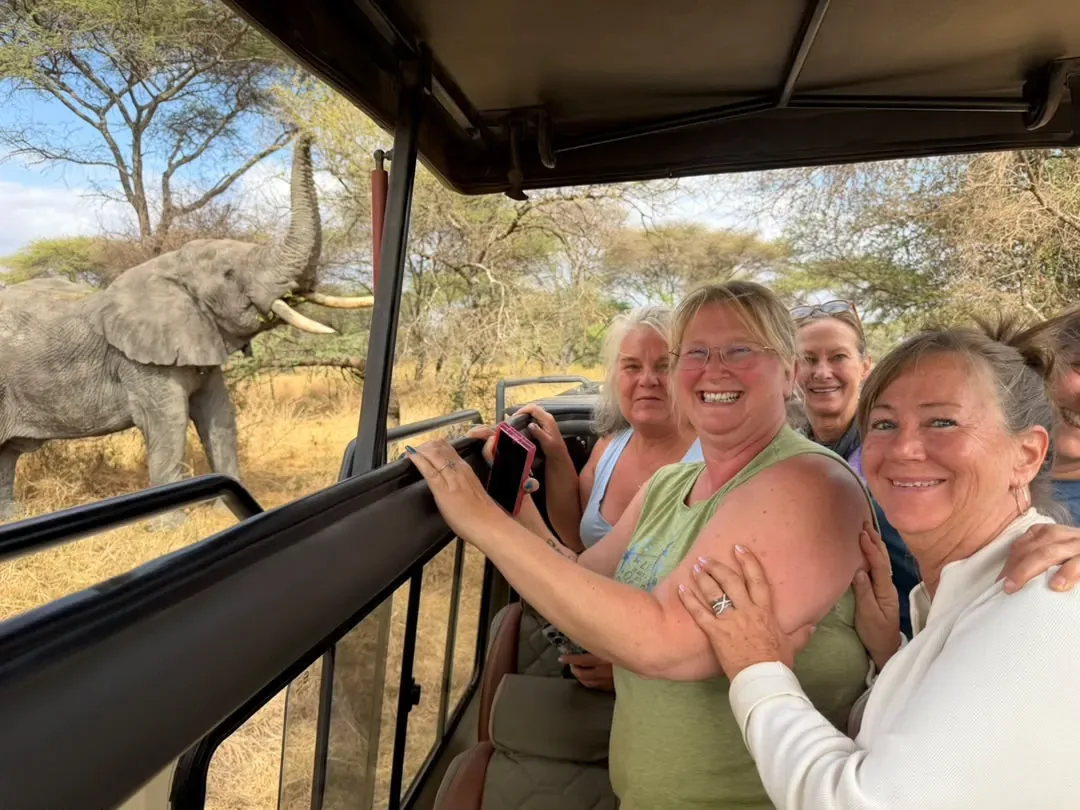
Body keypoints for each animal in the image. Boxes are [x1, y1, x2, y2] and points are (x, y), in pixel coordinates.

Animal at [0, 135, 373, 520]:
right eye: (229, 274)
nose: (304, 133)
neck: (169, 266)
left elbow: (219, 415)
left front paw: (224, 512)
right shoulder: (140, 361)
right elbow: (169, 420)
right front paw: (172, 525)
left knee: (7, 456)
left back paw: (13, 517)